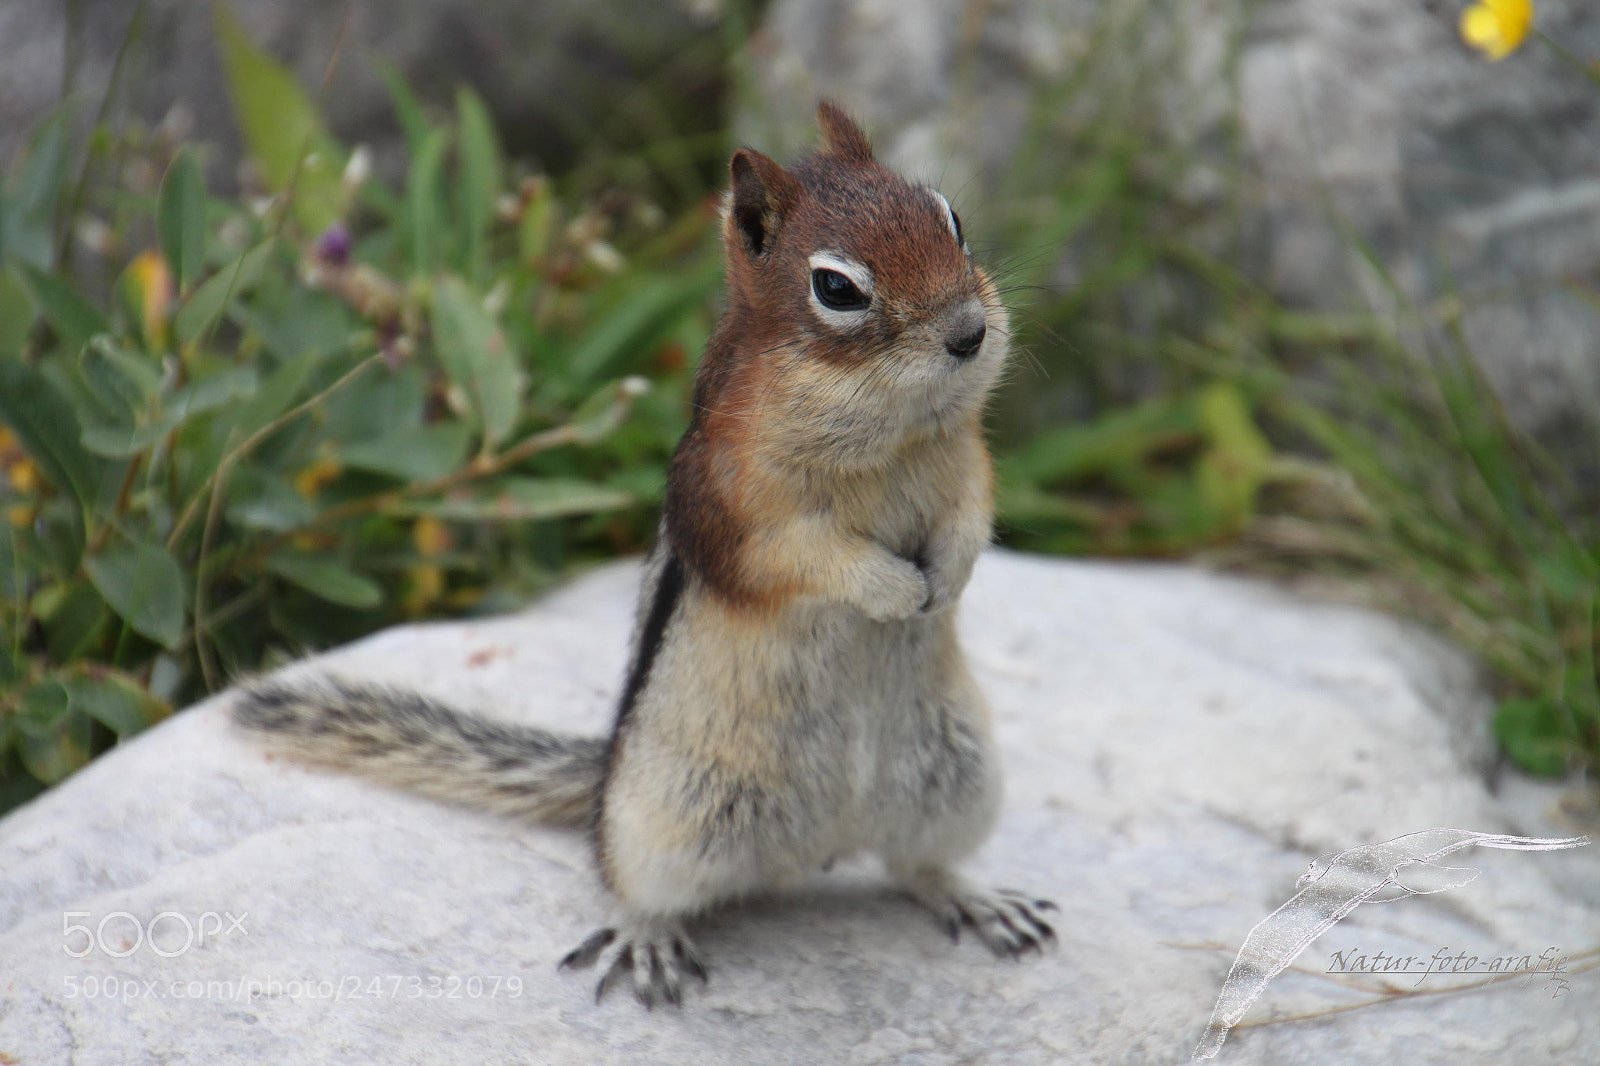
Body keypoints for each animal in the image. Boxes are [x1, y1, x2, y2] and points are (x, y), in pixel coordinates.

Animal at [234, 100, 1055, 1007]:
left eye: (952, 219)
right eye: (837, 288)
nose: (970, 333)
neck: (893, 430)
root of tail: (822, 844)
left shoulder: (967, 460)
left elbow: (972, 516)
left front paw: (949, 574)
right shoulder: (737, 506)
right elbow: (805, 558)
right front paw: (892, 587)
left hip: (959, 775)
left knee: (919, 863)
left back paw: (980, 897)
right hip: (666, 816)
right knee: (631, 879)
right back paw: (647, 938)